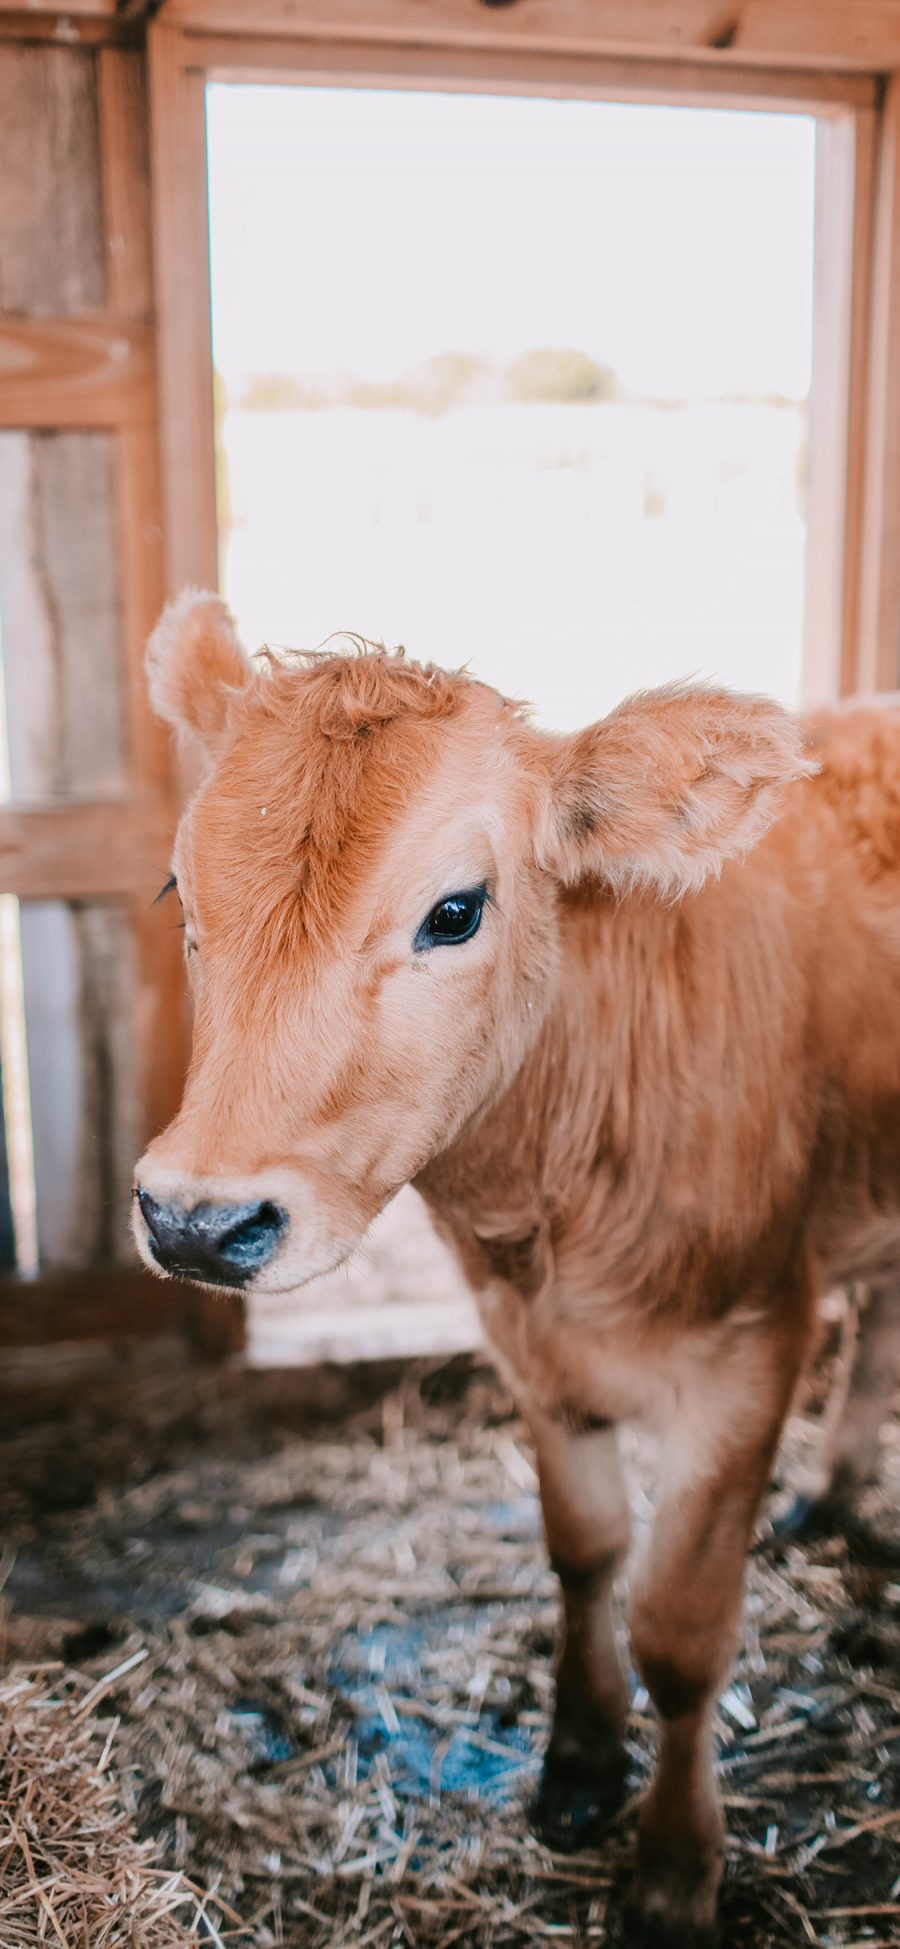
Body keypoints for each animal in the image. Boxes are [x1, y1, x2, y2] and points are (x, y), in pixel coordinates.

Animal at [137, 584, 900, 1941]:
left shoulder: (754, 1342)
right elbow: (585, 1551)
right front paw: (582, 1760)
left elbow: (681, 1631)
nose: (196, 1221)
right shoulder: (527, 1347)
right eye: (180, 888)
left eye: (455, 911)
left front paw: (672, 1869)